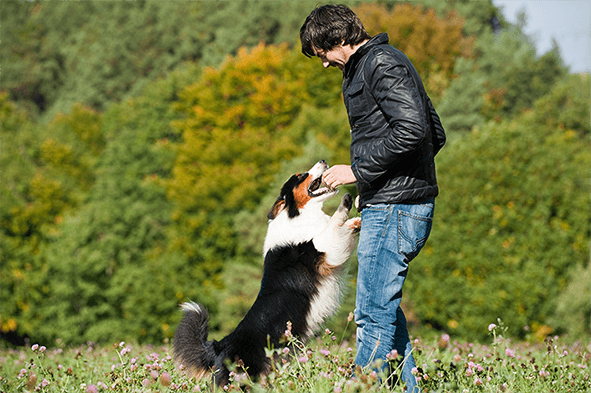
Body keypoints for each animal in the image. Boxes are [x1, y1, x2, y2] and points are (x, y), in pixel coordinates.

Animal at [173, 160, 364, 386]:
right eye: (300, 176)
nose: (323, 161)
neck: (298, 216)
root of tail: (218, 346)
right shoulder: (320, 250)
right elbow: (334, 224)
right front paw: (346, 202)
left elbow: (343, 227)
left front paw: (359, 219)